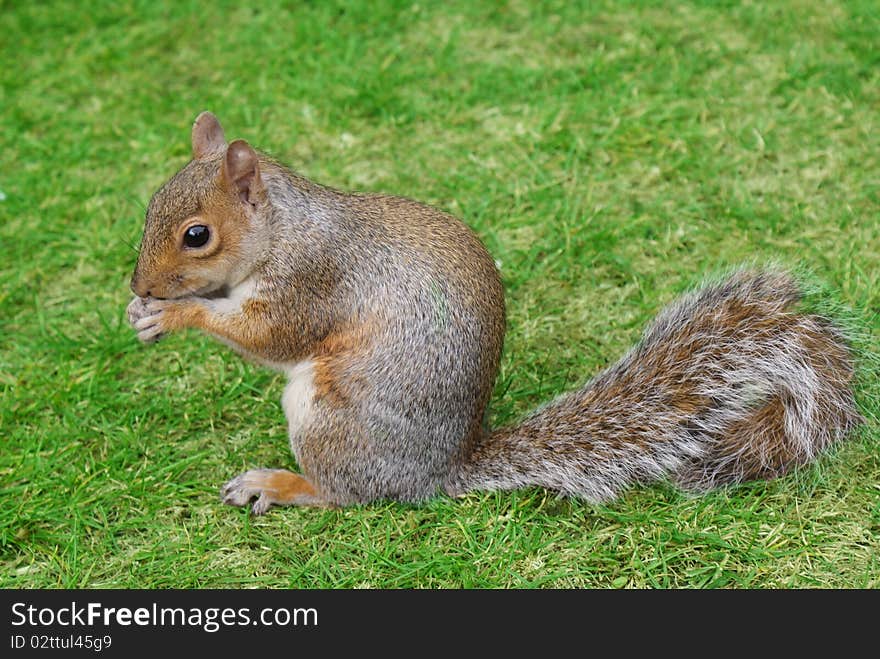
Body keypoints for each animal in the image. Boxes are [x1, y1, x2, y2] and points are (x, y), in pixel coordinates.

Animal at [127, 112, 864, 516]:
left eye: (197, 235)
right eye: (150, 204)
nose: (139, 281)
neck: (282, 229)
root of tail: (439, 471)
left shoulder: (312, 280)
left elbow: (269, 333)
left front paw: (176, 314)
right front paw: (144, 308)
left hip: (328, 415)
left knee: (348, 495)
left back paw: (282, 484)